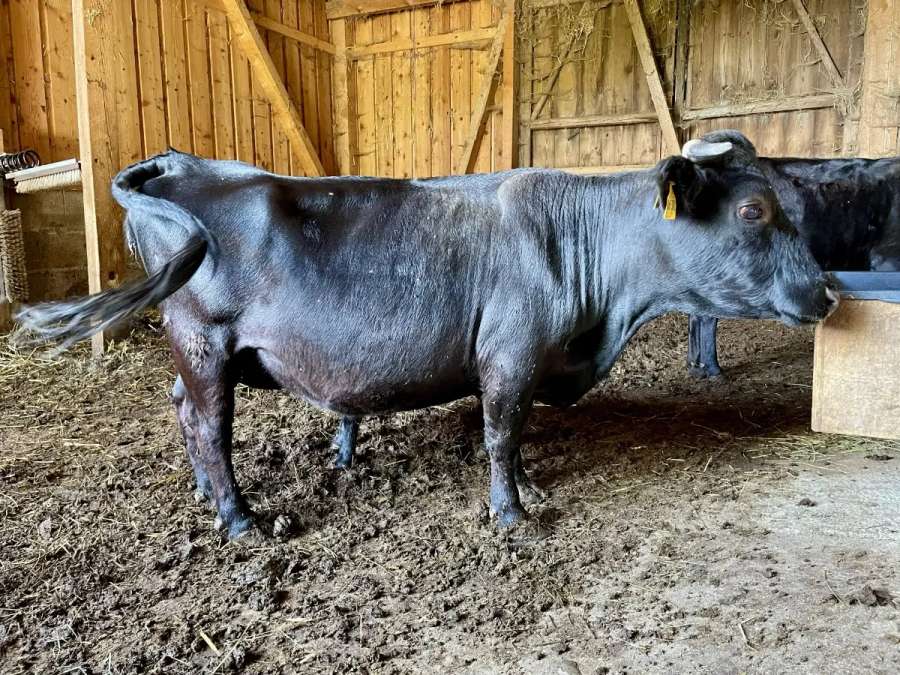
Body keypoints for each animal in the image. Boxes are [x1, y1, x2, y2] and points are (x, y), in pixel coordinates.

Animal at [16, 130, 838, 539]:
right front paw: (512, 515)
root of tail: (178, 162)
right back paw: (240, 519)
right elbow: (501, 434)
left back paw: (206, 497)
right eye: (754, 211)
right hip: (205, 342)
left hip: (196, 353)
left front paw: (530, 487)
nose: (829, 292)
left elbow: (518, 438)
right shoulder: (509, 355)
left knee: (182, 411)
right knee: (210, 427)